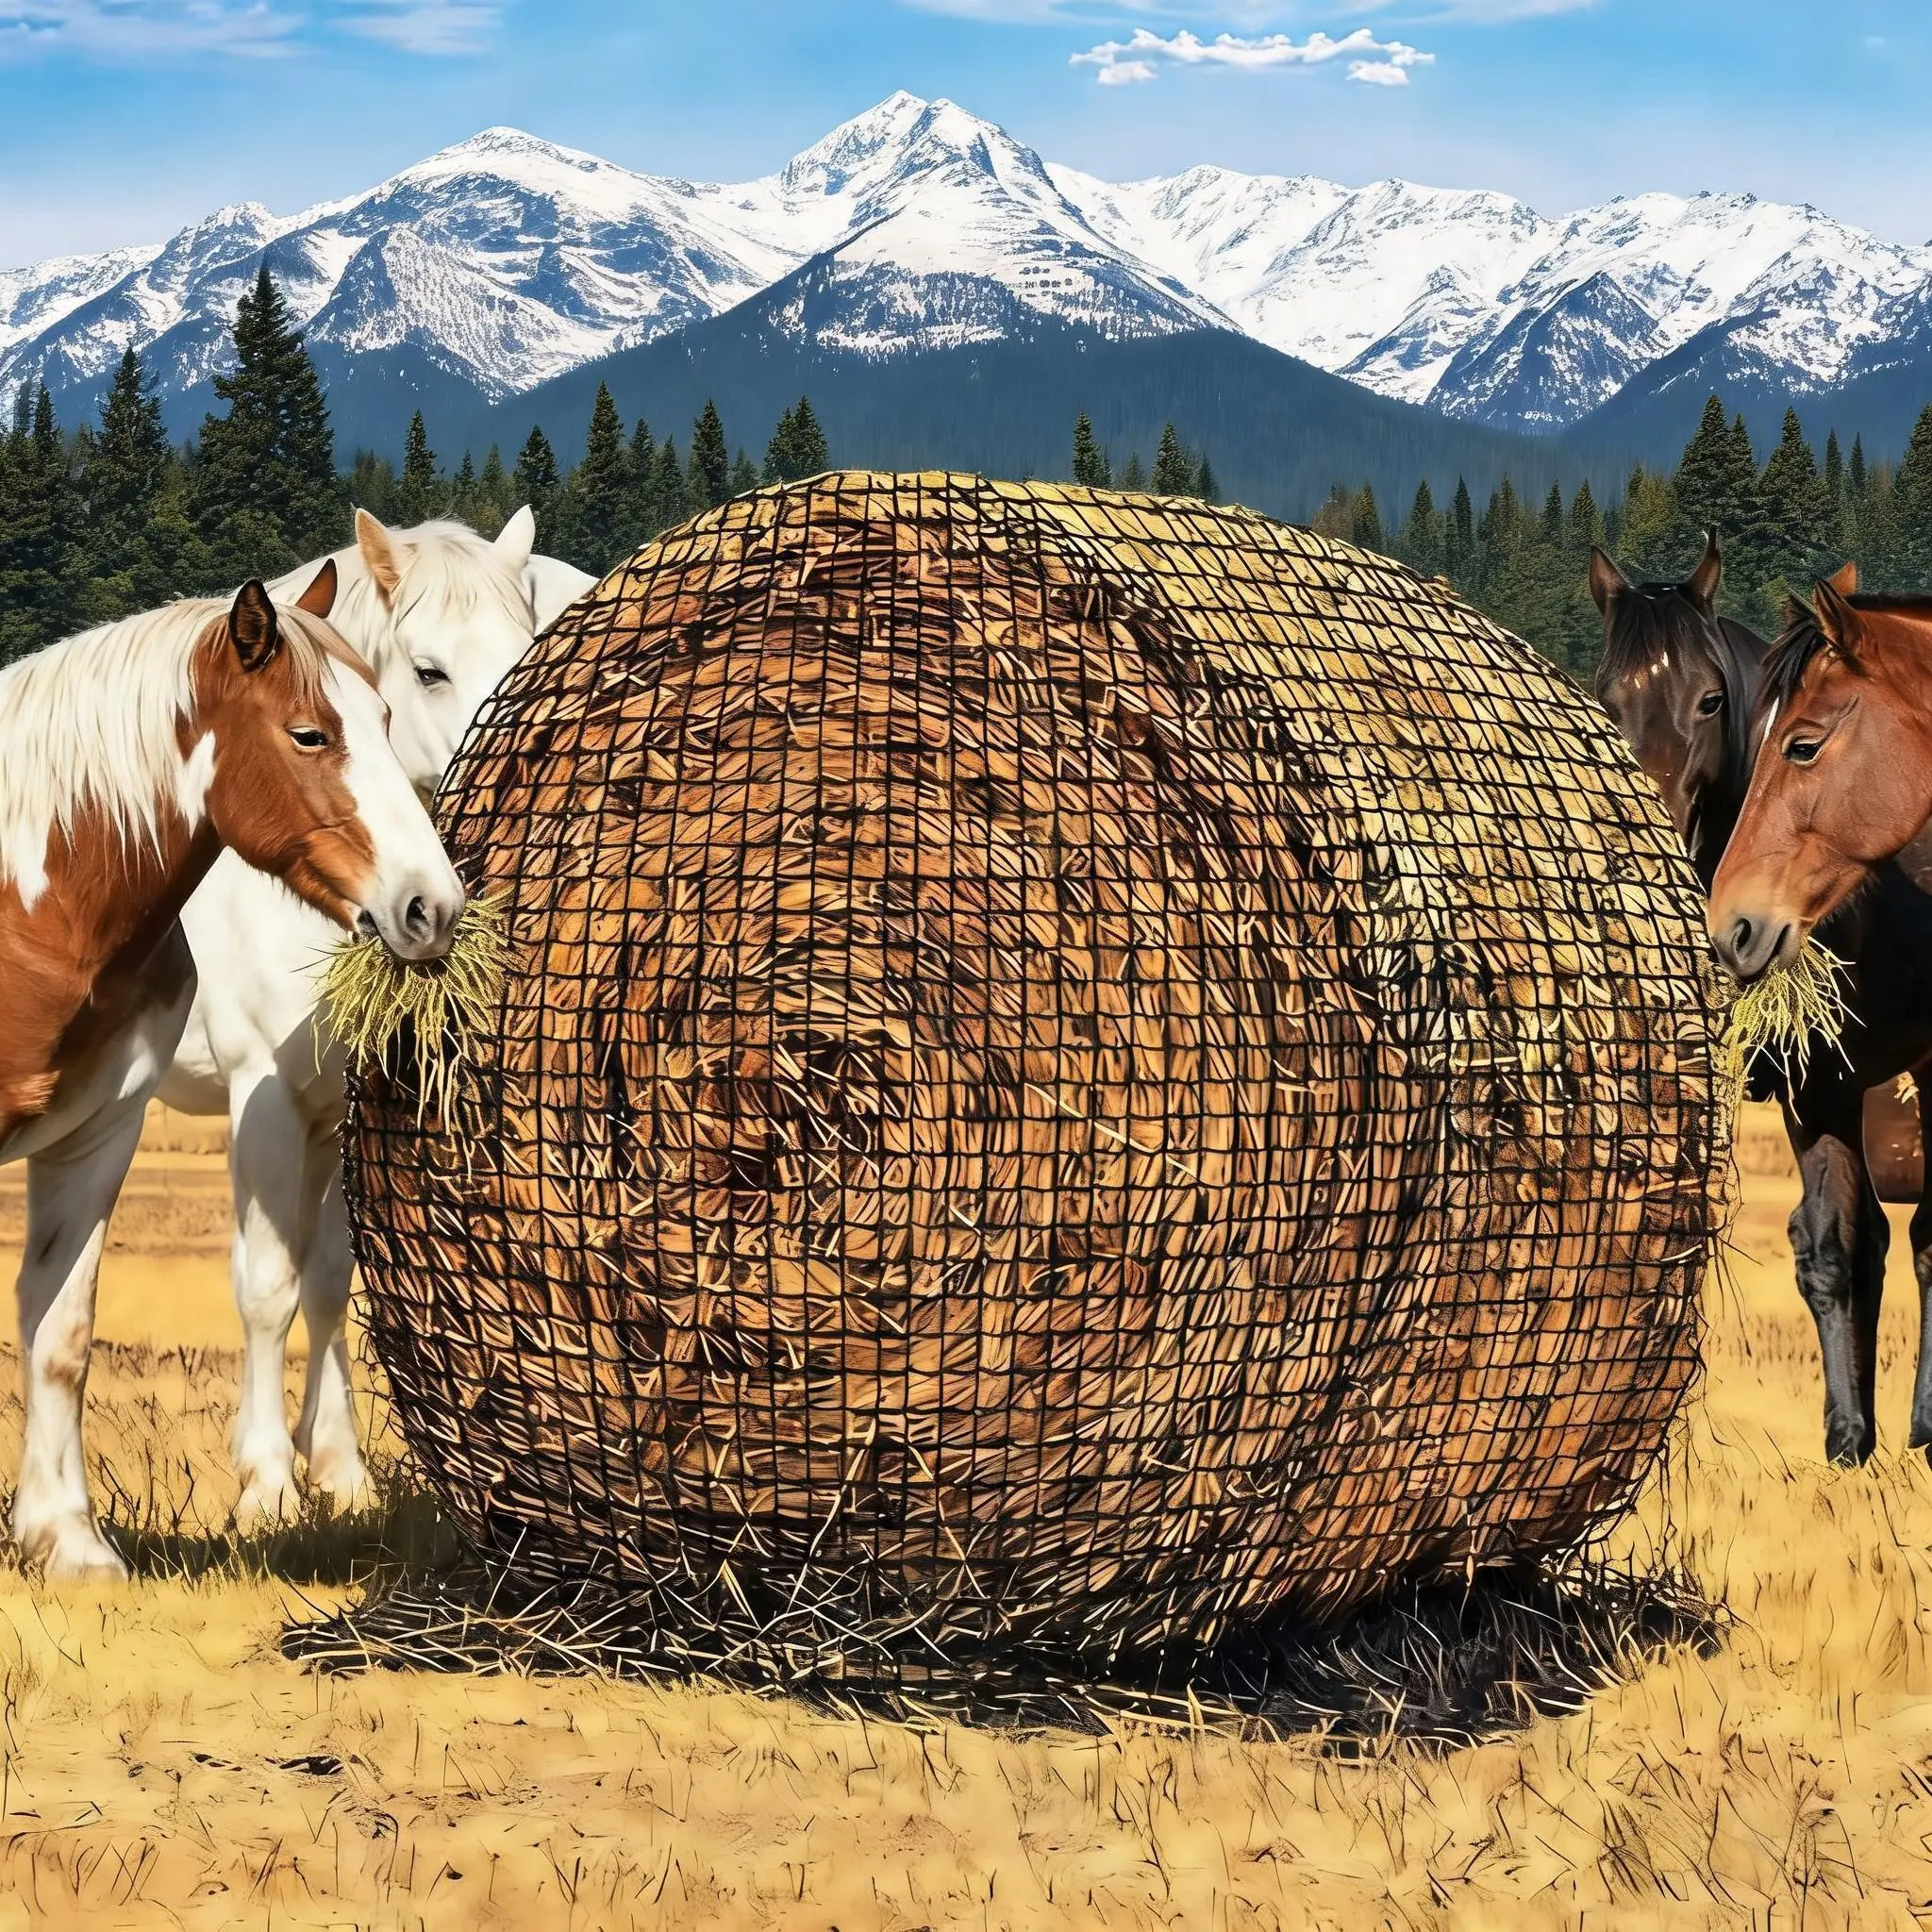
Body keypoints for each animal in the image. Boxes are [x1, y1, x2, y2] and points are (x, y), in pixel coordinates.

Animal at [0, 573, 462, 1577]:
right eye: (309, 733)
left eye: (384, 714)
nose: (431, 907)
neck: (30, 903)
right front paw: (272, 1489)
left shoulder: (99, 1136)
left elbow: (62, 1330)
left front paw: (68, 1544)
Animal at [156, 510, 595, 1528]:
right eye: (427, 671)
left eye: (529, 644)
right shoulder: (268, 1100)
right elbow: (268, 1286)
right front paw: (267, 1485)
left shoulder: (338, 1112)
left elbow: (326, 1281)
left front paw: (340, 1470)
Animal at [1593, 541, 1932, 1464]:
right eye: (1606, 694)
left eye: (1711, 700)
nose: (1734, 925)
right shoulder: (1814, 1084)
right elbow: (1834, 1246)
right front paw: (1849, 1442)